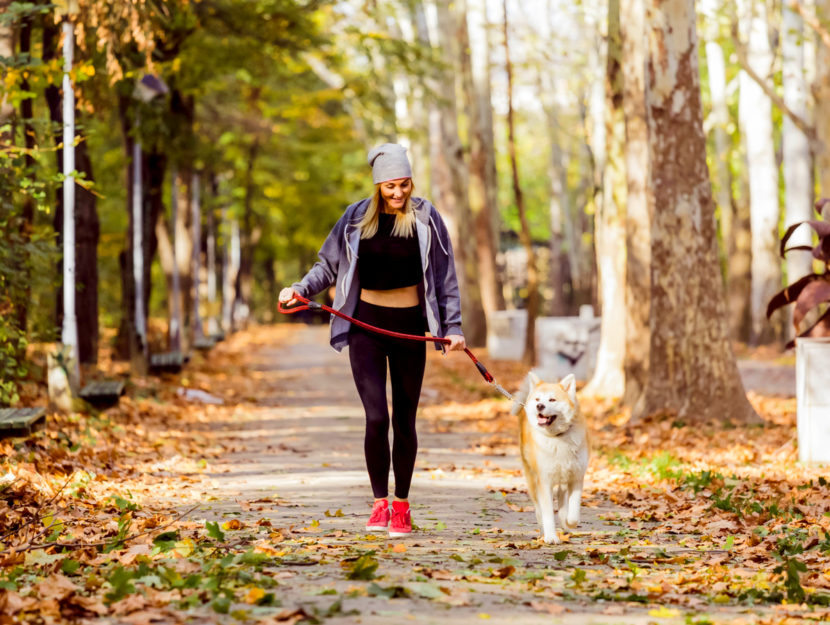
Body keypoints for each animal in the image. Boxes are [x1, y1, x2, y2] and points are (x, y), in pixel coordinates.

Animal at [512, 370, 592, 540]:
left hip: (563, 480)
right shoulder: (544, 481)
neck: (558, 438)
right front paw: (550, 537)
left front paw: (569, 523)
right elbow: (547, 513)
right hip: (532, 480)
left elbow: (573, 512)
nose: (539, 406)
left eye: (552, 399)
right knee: (538, 509)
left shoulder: (576, 477)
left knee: (562, 501)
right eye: (538, 399)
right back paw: (542, 529)